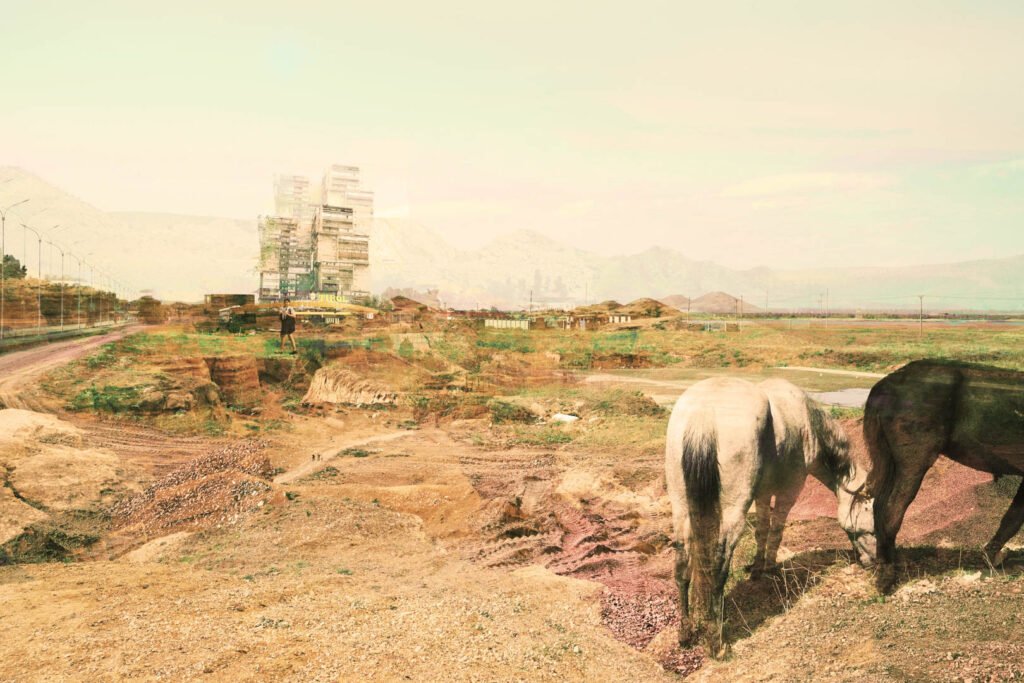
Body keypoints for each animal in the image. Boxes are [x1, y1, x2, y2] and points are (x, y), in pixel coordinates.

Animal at [667, 378, 876, 655]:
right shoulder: (790, 490)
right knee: (718, 567)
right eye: (872, 520)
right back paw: (717, 641)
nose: (874, 561)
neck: (807, 422)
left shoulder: (763, 493)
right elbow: (776, 529)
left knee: (682, 564)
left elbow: (762, 529)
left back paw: (685, 632)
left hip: (681, 507)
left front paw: (757, 567)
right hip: (734, 509)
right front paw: (771, 567)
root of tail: (703, 413)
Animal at [864, 358, 1024, 593]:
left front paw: (991, 556)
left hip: (891, 461)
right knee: (891, 511)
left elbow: (1012, 517)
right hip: (913, 462)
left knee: (878, 506)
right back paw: (887, 578)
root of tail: (885, 383)